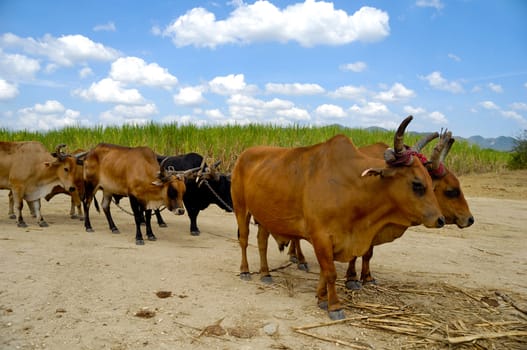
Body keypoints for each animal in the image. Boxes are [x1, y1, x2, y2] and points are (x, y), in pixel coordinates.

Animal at [231, 115, 446, 320]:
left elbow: (325, 272)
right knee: (243, 240)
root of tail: (243, 155)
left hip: (264, 217)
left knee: (261, 242)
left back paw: (265, 273)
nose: (440, 220)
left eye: (431, 182)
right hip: (241, 208)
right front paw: (334, 306)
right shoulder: (321, 237)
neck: (353, 186)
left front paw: (321, 298)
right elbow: (331, 273)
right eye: (417, 184)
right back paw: (245, 271)